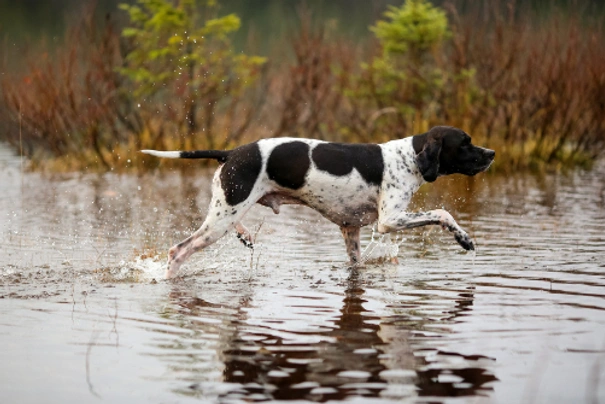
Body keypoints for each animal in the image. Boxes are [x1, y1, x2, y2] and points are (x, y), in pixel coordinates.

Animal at [143, 126, 496, 278]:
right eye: (465, 142)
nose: (492, 153)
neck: (408, 157)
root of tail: (231, 152)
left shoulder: (351, 229)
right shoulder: (390, 220)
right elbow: (443, 212)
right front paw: (464, 239)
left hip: (226, 209)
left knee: (232, 227)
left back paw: (245, 234)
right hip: (219, 221)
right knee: (178, 251)